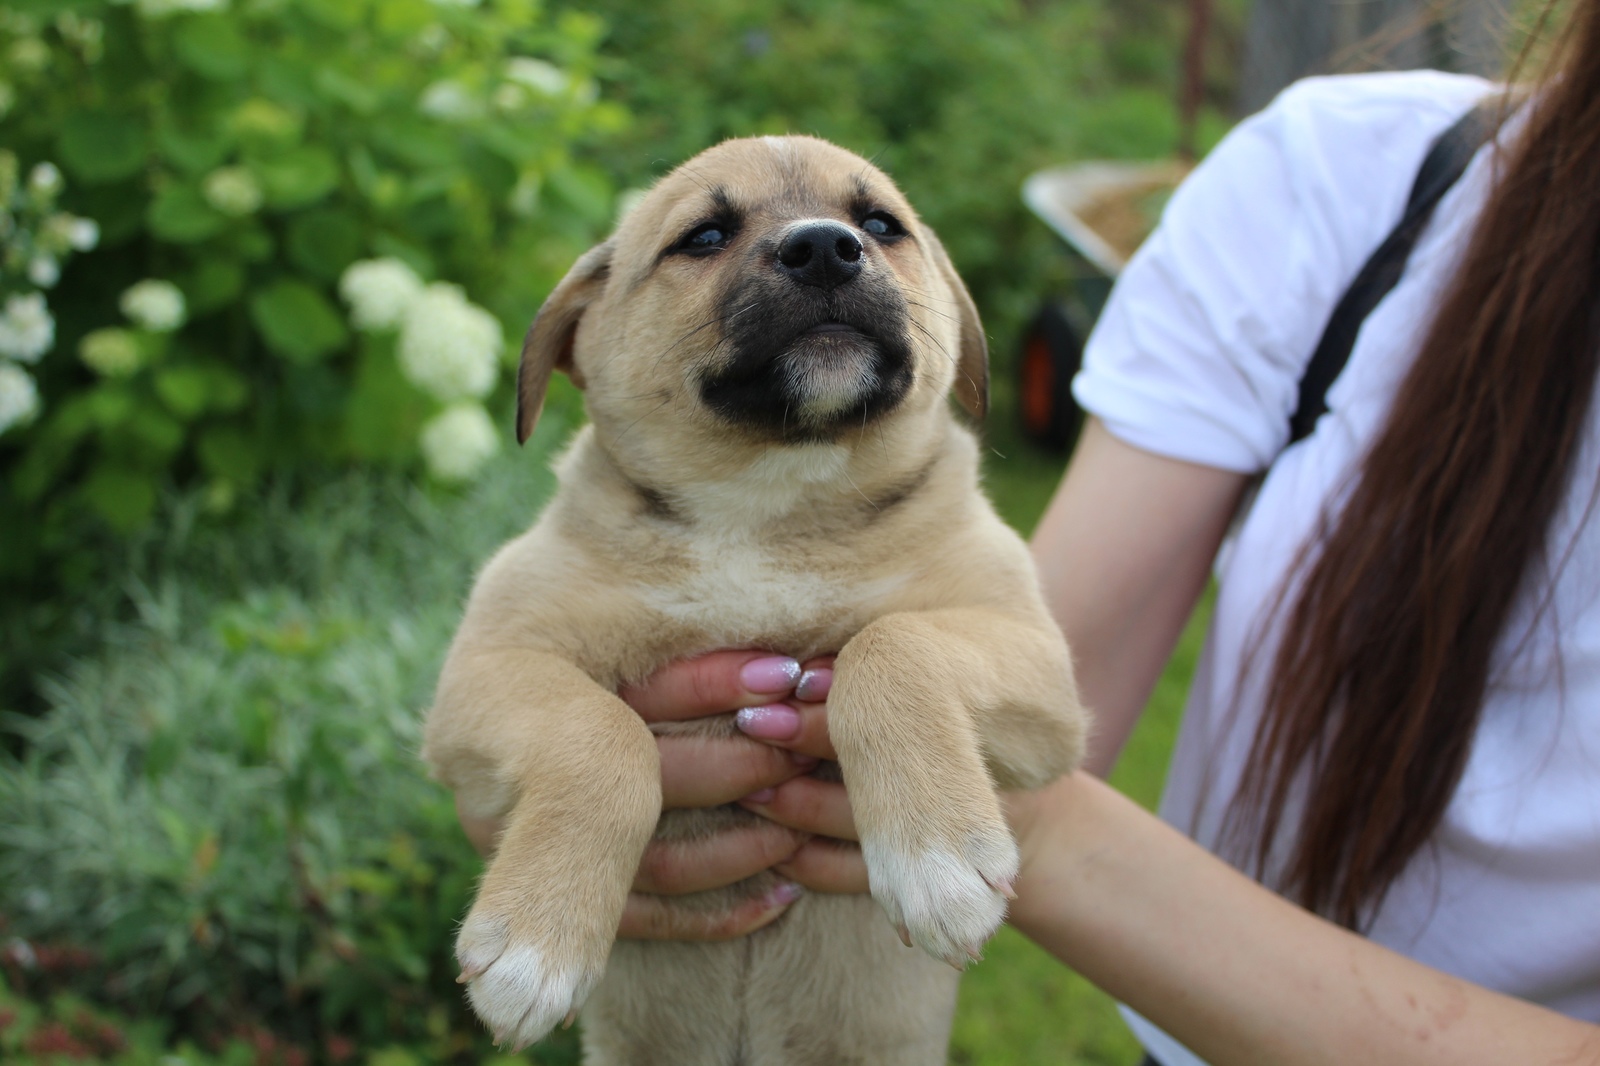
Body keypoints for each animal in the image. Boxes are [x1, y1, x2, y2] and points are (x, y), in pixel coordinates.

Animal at [422, 136, 1088, 1056]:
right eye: (703, 237)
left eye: (881, 224)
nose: (827, 249)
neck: (769, 505)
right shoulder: (486, 669)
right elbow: (602, 732)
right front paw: (535, 944)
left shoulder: (1037, 670)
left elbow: (893, 645)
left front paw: (938, 863)